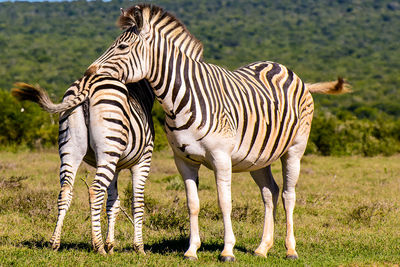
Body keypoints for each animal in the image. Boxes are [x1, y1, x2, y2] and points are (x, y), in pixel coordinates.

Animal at [11, 75, 155, 255]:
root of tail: (88, 85)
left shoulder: (116, 167)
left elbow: (113, 203)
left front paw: (111, 245)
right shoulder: (143, 160)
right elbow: (137, 203)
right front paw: (139, 248)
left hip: (71, 146)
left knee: (65, 191)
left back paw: (55, 243)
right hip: (107, 149)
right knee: (94, 191)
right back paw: (98, 246)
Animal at [85, 3, 350, 262]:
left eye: (122, 46)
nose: (89, 73)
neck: (181, 100)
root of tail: (287, 70)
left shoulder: (221, 158)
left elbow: (225, 202)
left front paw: (227, 251)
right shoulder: (183, 160)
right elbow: (192, 204)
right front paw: (191, 250)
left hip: (294, 150)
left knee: (288, 195)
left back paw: (290, 250)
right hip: (259, 157)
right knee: (270, 192)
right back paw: (262, 248)